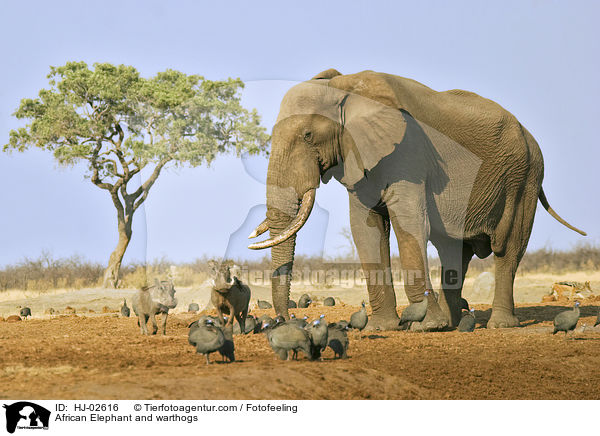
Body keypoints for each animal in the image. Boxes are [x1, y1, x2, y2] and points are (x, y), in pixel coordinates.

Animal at [248, 69, 584, 330]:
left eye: (307, 135)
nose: (287, 320)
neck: (346, 85)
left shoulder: (406, 153)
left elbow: (409, 222)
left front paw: (425, 326)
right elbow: (365, 229)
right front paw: (383, 327)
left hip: (524, 177)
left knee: (508, 247)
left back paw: (498, 325)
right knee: (454, 250)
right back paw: (453, 324)